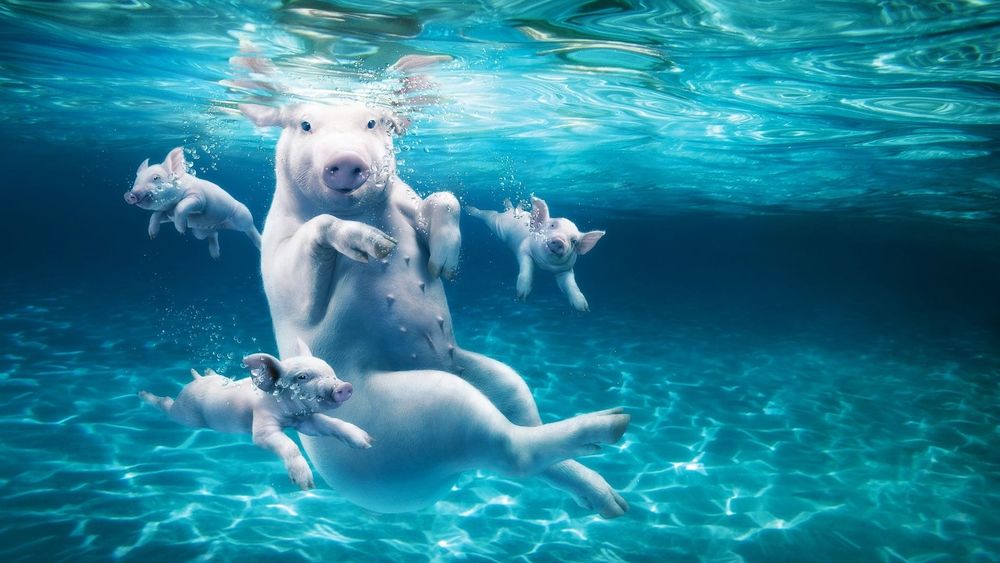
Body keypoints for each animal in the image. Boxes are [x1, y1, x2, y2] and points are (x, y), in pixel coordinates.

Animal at [124, 147, 262, 258]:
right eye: (136, 180)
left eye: (156, 178)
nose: (130, 195)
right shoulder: (168, 213)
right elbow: (155, 215)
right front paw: (152, 236)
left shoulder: (198, 198)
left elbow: (181, 206)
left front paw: (182, 231)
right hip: (198, 232)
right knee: (213, 234)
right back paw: (216, 256)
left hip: (243, 216)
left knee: (250, 229)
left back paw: (260, 245)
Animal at [139, 338, 371, 490]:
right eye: (302, 377)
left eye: (332, 373)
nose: (344, 387)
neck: (289, 414)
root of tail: (195, 381)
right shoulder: (262, 427)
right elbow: (289, 445)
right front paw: (306, 485)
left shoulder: (305, 421)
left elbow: (330, 424)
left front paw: (368, 442)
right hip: (185, 413)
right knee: (166, 404)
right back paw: (143, 394)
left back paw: (208, 371)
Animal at [467, 197, 605, 311]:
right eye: (552, 225)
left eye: (574, 241)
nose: (560, 241)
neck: (544, 266)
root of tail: (511, 210)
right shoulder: (524, 250)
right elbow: (527, 268)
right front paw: (521, 297)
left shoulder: (566, 269)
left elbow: (571, 284)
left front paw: (584, 309)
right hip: (495, 223)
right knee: (488, 214)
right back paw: (469, 208)